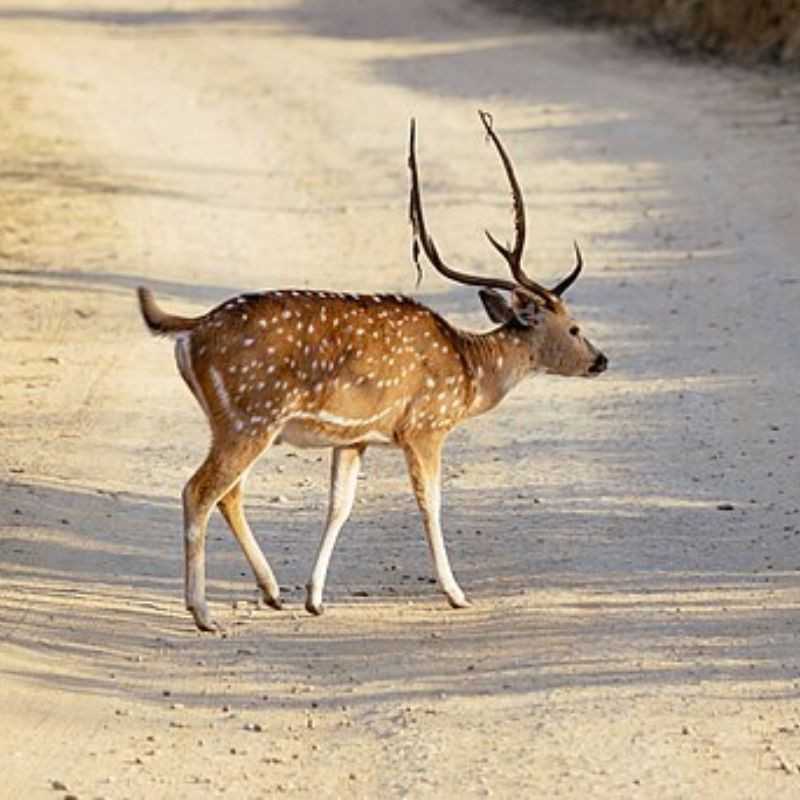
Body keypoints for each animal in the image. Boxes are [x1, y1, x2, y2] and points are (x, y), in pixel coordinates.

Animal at [137, 111, 607, 632]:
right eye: (574, 327)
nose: (601, 360)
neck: (469, 373)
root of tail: (191, 329)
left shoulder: (354, 437)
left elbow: (339, 506)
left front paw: (315, 599)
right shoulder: (424, 427)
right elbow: (431, 504)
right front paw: (457, 594)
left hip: (235, 422)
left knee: (228, 493)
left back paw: (273, 591)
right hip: (250, 416)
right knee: (198, 490)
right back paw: (203, 613)